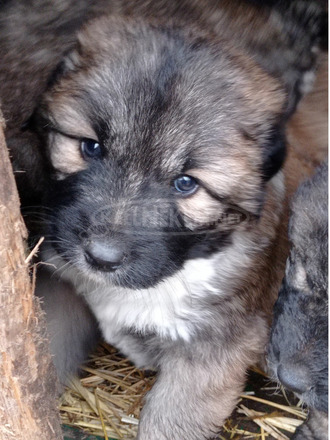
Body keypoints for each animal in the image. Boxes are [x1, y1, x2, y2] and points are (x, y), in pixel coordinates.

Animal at [0, 0, 328, 440]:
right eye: (91, 147)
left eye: (186, 184)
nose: (101, 258)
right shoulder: (63, 286)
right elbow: (43, 353)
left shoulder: (211, 352)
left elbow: (167, 421)